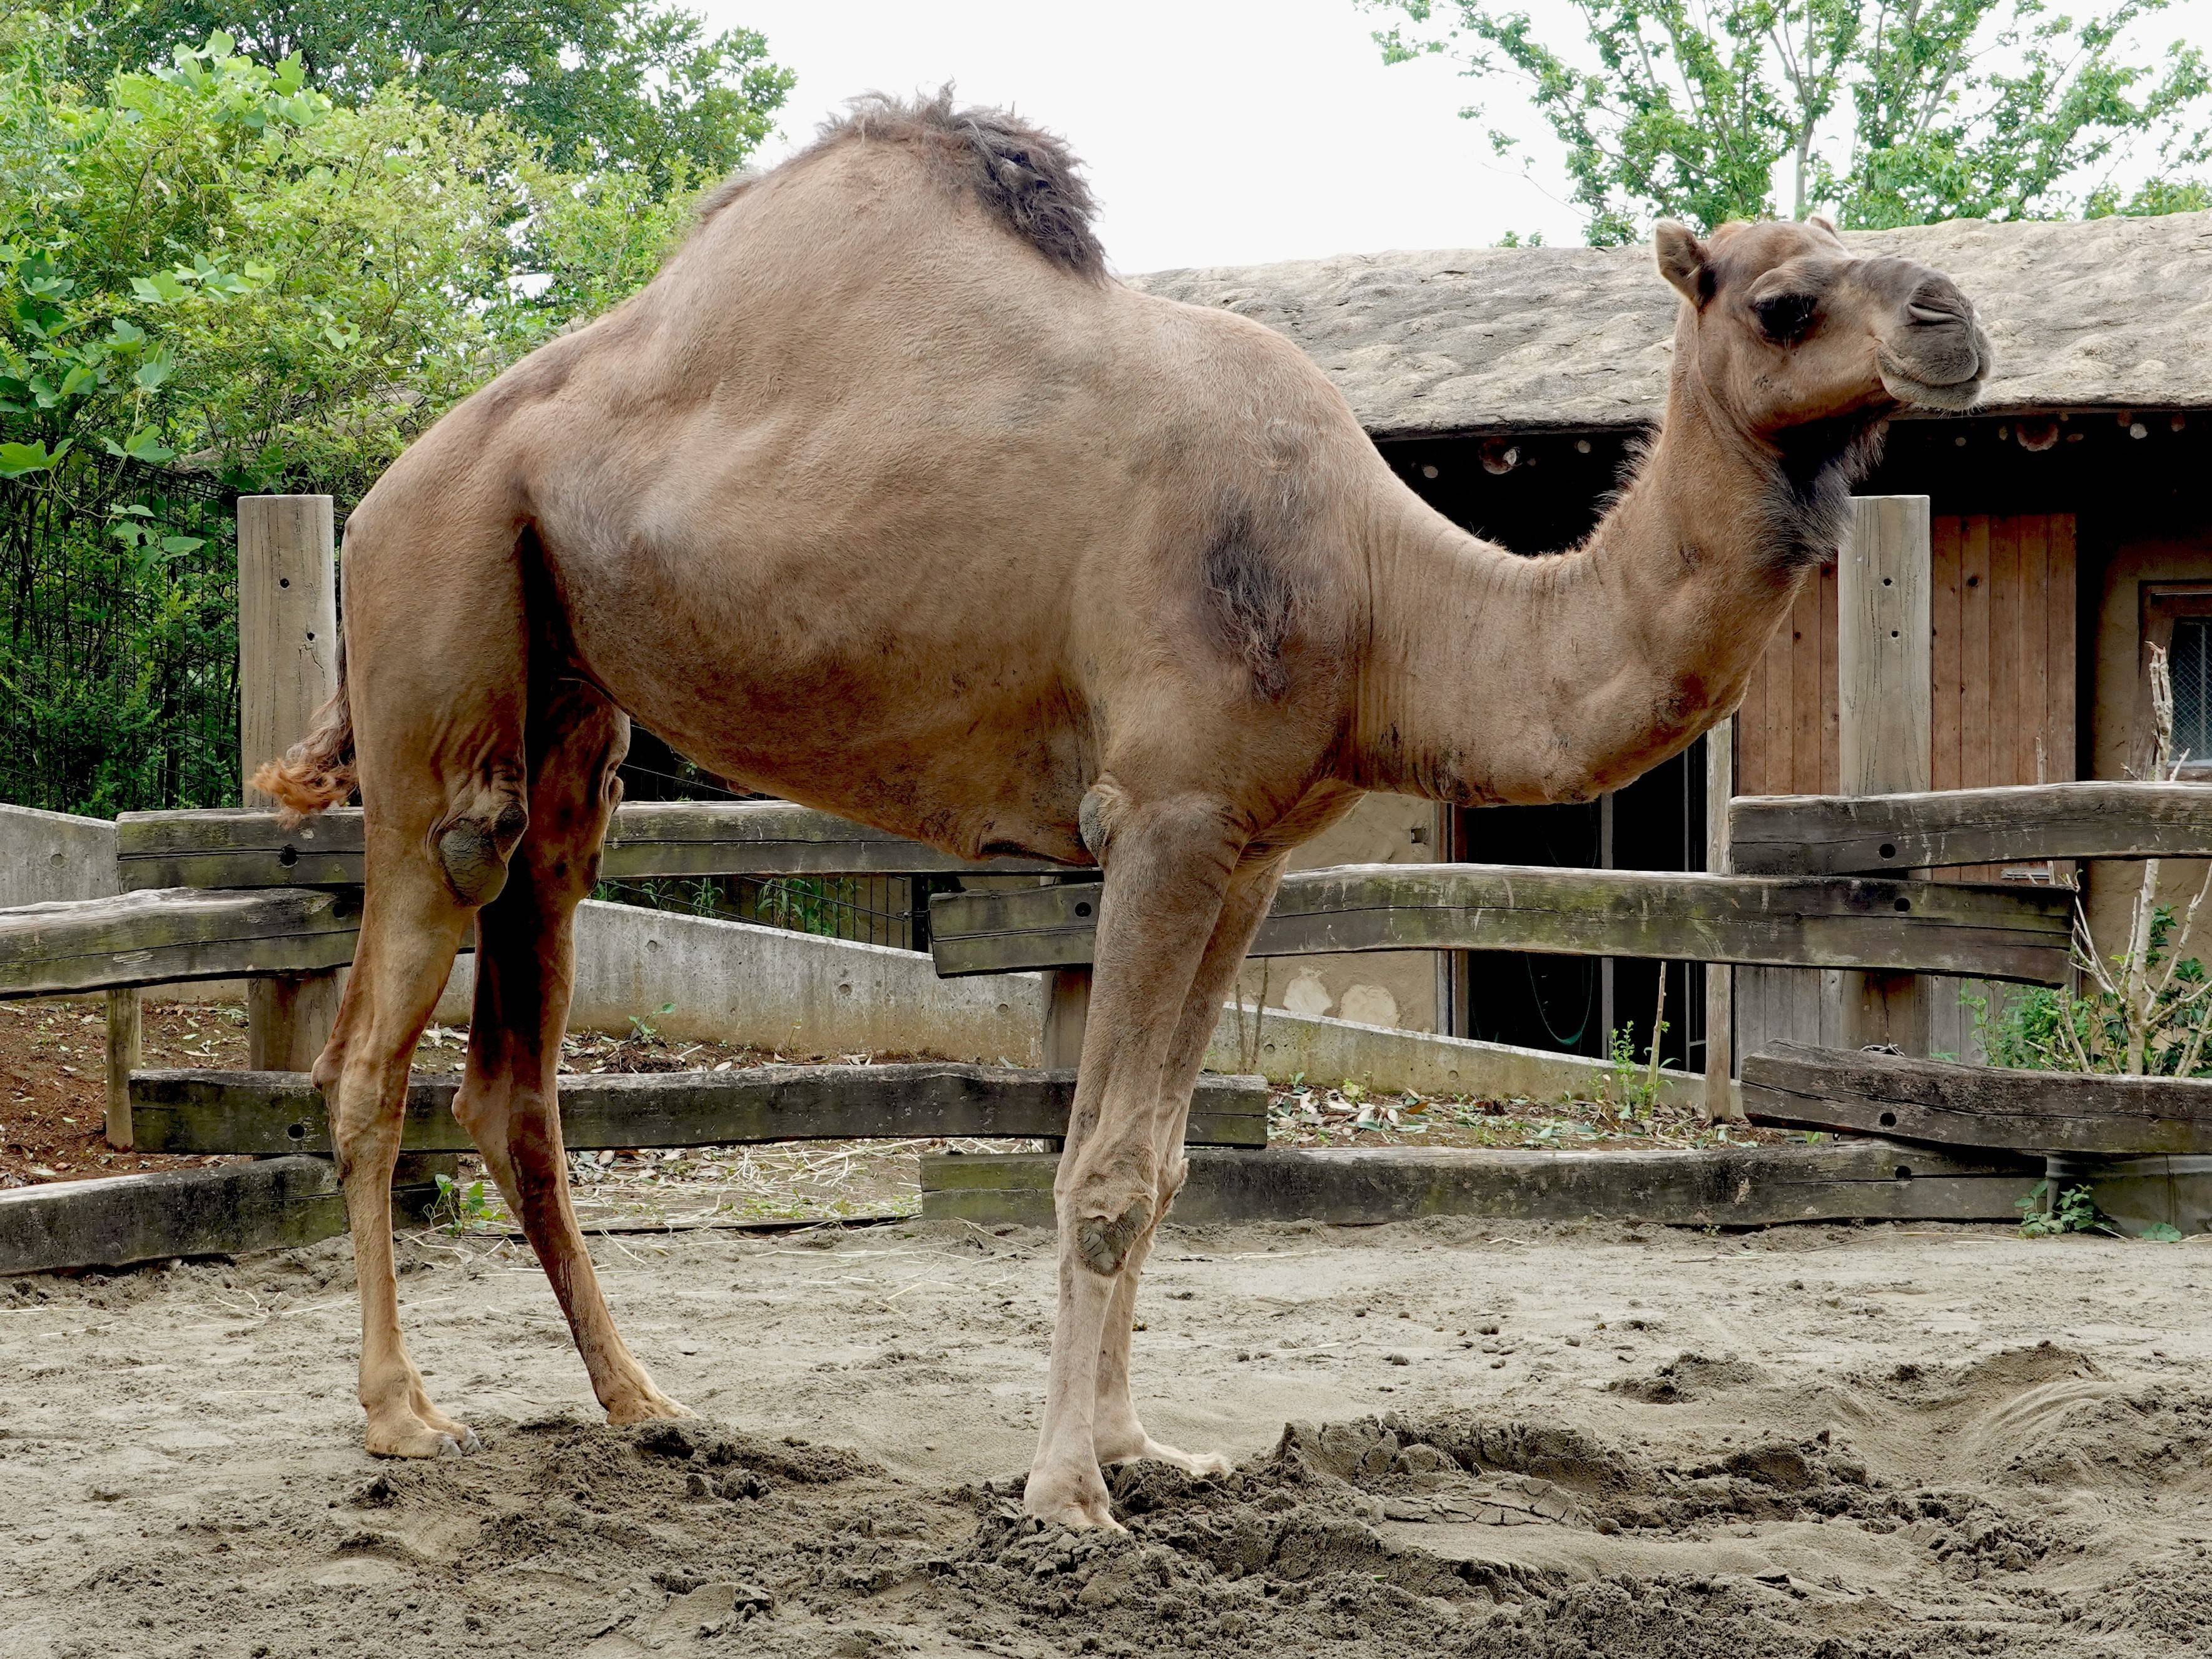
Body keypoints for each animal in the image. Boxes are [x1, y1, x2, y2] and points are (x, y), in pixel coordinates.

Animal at [254, 94, 1991, 1530]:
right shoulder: (1163, 813)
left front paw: (1148, 1451)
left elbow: (1157, 1169)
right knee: (375, 1038)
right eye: (1780, 299)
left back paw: (646, 1404)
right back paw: (403, 1417)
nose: (1954, 318)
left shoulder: (1253, 849)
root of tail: (391, 481)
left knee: (516, 1067)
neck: (1380, 591)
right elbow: (1092, 1170)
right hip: (441, 616)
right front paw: (1067, 1493)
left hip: (572, 706)